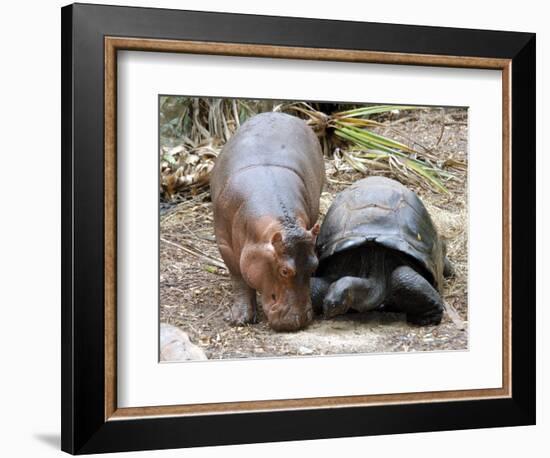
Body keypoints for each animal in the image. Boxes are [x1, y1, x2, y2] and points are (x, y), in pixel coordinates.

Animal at [210, 112, 324, 330]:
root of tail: (280, 113)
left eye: (315, 265)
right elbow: (239, 279)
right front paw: (239, 319)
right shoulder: (225, 245)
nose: (299, 320)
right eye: (285, 271)